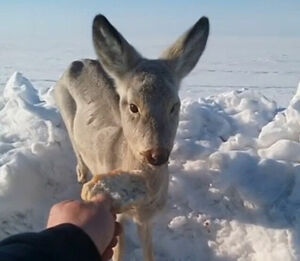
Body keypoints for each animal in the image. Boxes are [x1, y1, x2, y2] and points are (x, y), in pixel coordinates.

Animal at [54, 13, 209, 260]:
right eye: (133, 106)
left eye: (174, 105)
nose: (157, 155)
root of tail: (79, 61)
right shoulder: (117, 217)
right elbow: (118, 252)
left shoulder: (146, 219)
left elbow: (149, 251)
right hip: (64, 107)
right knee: (76, 147)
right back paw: (81, 174)